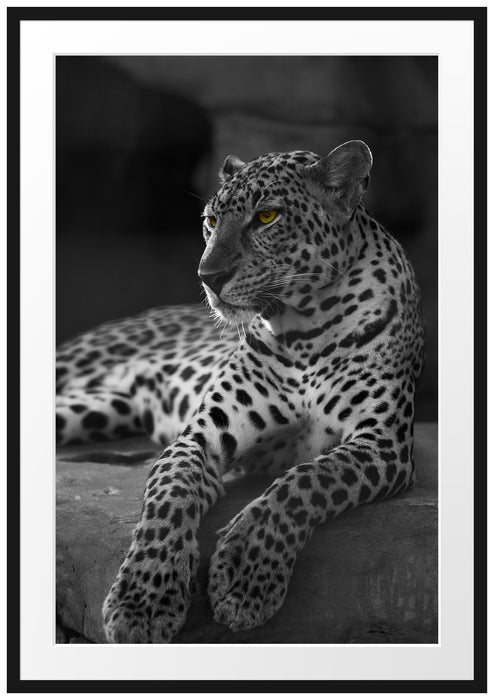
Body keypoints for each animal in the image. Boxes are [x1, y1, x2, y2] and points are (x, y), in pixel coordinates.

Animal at [56, 140, 424, 643]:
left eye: (266, 217)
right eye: (211, 221)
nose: (208, 276)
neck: (303, 329)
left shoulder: (382, 443)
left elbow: (305, 480)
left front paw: (246, 573)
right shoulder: (199, 438)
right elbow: (168, 496)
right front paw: (143, 599)